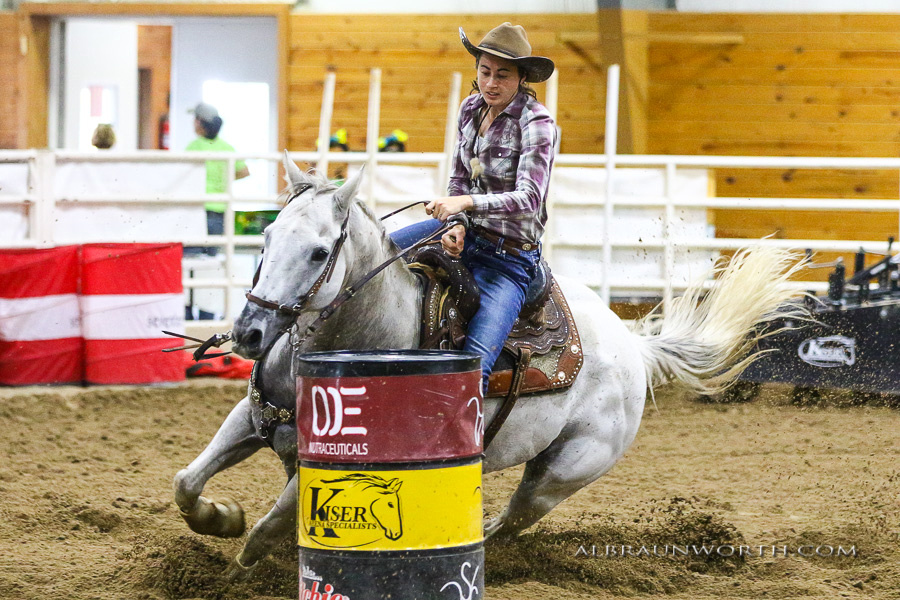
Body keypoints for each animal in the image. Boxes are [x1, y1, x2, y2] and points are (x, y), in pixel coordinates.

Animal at [172, 155, 804, 580]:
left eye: (319, 252)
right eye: (267, 235)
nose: (251, 332)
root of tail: (633, 347)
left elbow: (268, 528)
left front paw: (237, 571)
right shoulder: (251, 418)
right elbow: (186, 483)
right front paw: (220, 516)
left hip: (563, 472)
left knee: (512, 520)